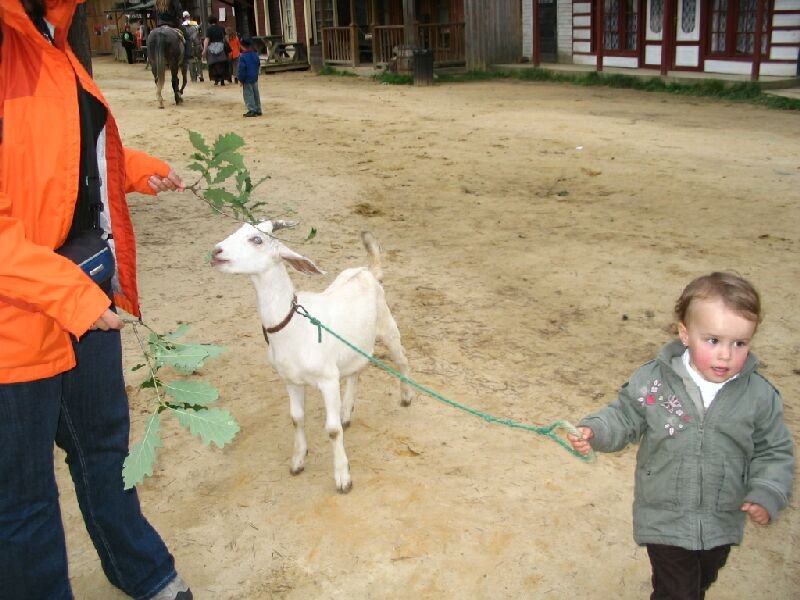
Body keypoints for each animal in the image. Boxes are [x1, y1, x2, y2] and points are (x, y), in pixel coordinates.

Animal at [211, 220, 413, 492]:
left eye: (257, 239)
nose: (216, 252)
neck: (293, 327)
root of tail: (367, 271)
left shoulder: (328, 380)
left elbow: (332, 430)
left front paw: (343, 478)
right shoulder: (290, 380)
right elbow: (296, 419)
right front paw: (298, 460)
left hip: (388, 327)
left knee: (402, 359)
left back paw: (406, 396)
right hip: (354, 345)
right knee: (357, 370)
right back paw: (346, 412)